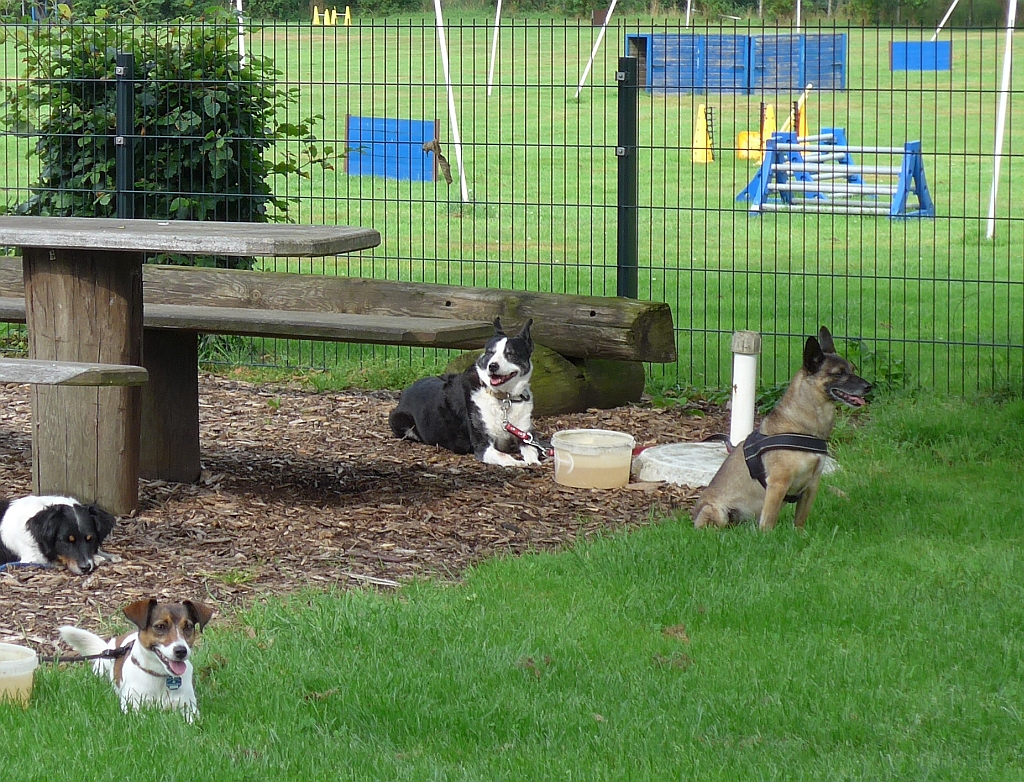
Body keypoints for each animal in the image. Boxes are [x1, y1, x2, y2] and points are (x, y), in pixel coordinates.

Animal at [389, 315, 548, 466]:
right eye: (490, 353)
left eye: (511, 354)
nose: (492, 366)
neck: (503, 398)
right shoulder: (482, 444)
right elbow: (503, 455)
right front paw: (517, 463)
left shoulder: (525, 434)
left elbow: (531, 449)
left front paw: (534, 461)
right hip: (399, 420)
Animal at [692, 323, 868, 532]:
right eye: (838, 373)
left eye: (853, 369)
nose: (869, 387)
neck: (802, 426)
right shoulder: (778, 484)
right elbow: (768, 522)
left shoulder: (812, 485)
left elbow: (800, 520)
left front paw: (799, 535)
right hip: (717, 512)